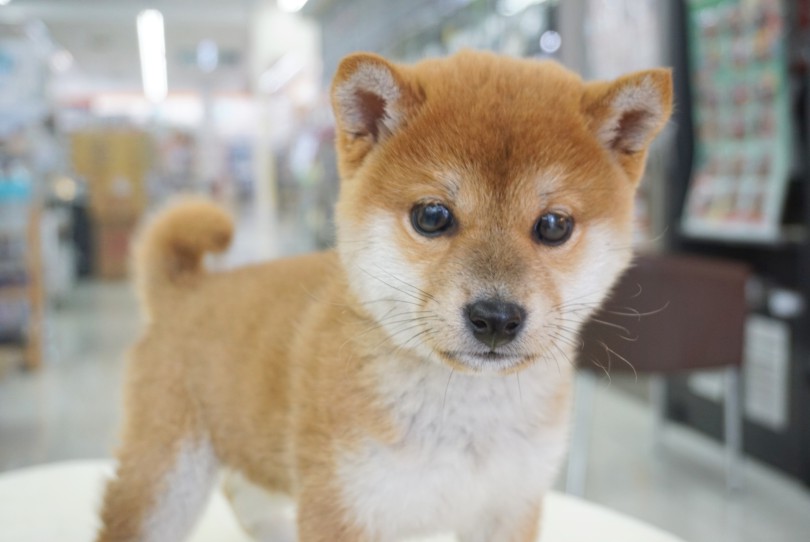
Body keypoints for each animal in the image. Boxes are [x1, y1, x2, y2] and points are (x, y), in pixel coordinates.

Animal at [96, 51, 668, 542]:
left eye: (553, 226)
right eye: (432, 216)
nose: (496, 317)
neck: (465, 414)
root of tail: (184, 288)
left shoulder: (510, 507)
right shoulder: (343, 504)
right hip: (169, 474)